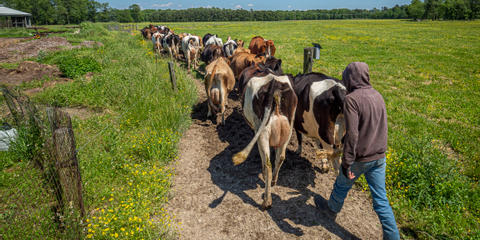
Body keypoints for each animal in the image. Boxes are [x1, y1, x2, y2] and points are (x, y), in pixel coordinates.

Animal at [232, 73, 296, 210]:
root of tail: (275, 85)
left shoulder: (256, 130)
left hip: (263, 132)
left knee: (268, 165)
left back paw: (266, 201)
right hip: (288, 129)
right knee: (281, 157)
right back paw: (274, 181)